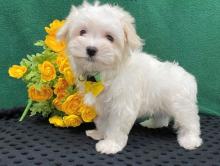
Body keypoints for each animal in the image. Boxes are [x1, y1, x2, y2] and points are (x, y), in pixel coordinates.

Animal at [57, 1, 203, 154]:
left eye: (110, 37)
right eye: (82, 32)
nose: (91, 49)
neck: (106, 73)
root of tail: (188, 77)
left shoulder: (122, 106)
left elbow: (116, 127)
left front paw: (110, 144)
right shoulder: (102, 105)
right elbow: (103, 122)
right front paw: (100, 134)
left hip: (182, 106)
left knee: (191, 122)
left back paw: (190, 140)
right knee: (161, 115)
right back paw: (152, 124)